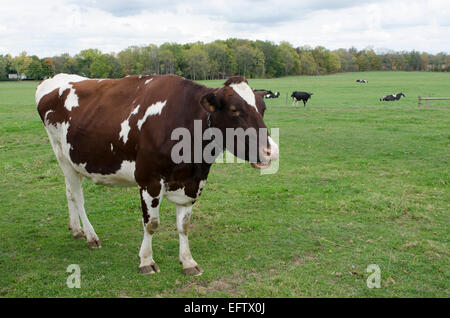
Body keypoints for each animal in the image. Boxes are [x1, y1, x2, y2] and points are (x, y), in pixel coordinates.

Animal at [37, 72, 278, 276]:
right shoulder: (149, 181)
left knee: (69, 192)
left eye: (263, 108)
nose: (271, 151)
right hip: (61, 154)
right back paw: (90, 236)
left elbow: (184, 226)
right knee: (78, 197)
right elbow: (151, 224)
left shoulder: (190, 184)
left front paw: (188, 262)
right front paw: (146, 261)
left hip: (73, 162)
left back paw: (76, 229)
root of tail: (54, 78)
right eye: (235, 110)